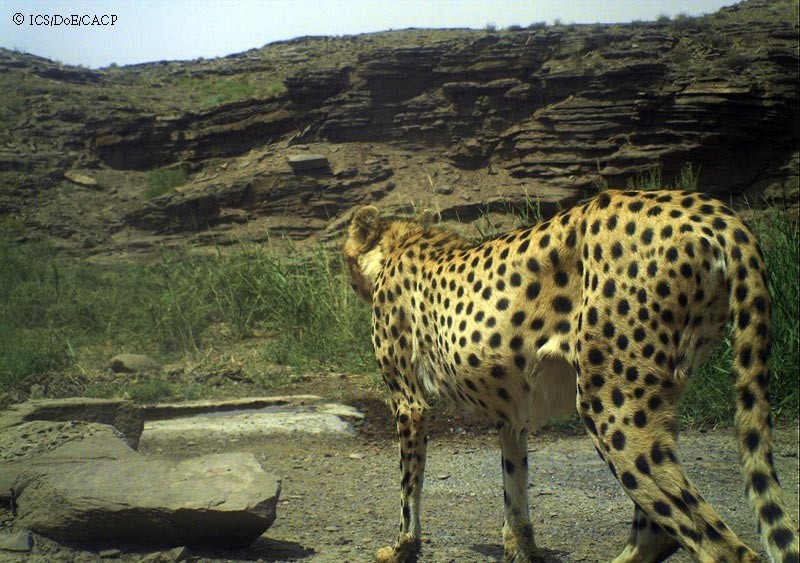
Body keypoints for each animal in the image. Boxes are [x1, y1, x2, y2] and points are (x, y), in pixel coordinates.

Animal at [346, 189, 800, 563]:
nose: (351, 282)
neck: (399, 243)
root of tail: (710, 209)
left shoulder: (410, 404)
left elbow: (409, 488)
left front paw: (402, 548)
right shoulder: (512, 413)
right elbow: (515, 487)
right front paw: (521, 550)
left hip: (610, 403)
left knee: (718, 545)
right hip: (654, 396)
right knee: (659, 529)